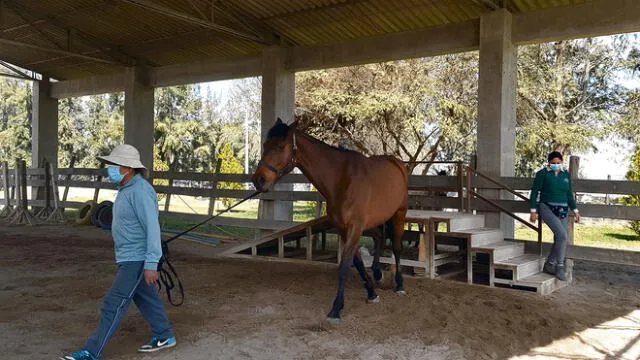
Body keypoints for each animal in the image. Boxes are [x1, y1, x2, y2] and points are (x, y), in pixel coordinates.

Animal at [252, 119, 408, 320]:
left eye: (280, 146)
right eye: (265, 145)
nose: (259, 180)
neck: (342, 179)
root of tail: (397, 163)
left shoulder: (354, 227)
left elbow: (345, 266)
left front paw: (336, 308)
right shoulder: (344, 228)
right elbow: (357, 262)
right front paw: (372, 293)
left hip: (399, 214)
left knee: (396, 247)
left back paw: (400, 285)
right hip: (376, 219)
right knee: (379, 237)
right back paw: (377, 272)